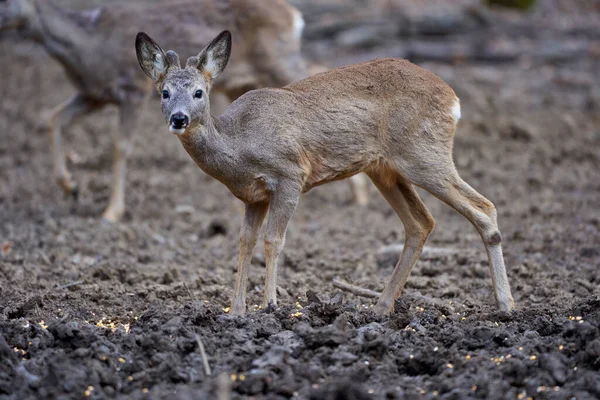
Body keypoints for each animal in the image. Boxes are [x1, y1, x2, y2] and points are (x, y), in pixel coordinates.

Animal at [0, 0, 370, 222]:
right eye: (164, 92)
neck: (86, 48)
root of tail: (295, 15)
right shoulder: (93, 93)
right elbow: (53, 118)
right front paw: (70, 187)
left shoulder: (130, 89)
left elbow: (120, 146)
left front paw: (112, 211)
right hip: (243, 81)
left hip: (279, 62)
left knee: (318, 71)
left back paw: (360, 193)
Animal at [136, 30, 516, 316]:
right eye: (164, 93)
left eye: (199, 92)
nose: (179, 118)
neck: (238, 145)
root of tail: (453, 99)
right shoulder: (253, 196)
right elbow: (245, 242)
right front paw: (237, 310)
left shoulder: (290, 174)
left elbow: (274, 240)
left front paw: (269, 305)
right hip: (386, 169)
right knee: (421, 223)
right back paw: (381, 306)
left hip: (424, 154)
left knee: (484, 207)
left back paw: (506, 304)